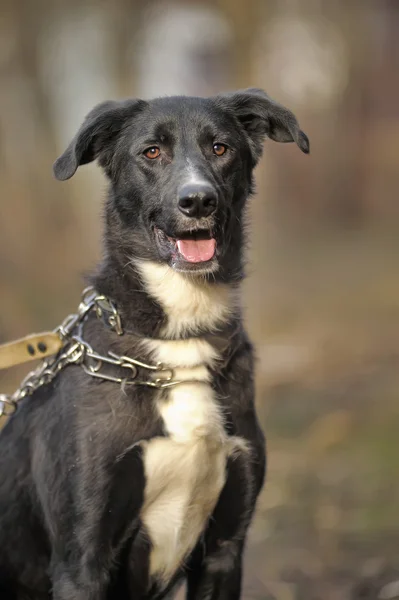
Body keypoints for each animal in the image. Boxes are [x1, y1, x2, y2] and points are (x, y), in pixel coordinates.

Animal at [0, 89, 310, 600]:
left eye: (220, 148)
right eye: (151, 152)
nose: (198, 199)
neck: (178, 341)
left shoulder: (224, 550)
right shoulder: (82, 561)